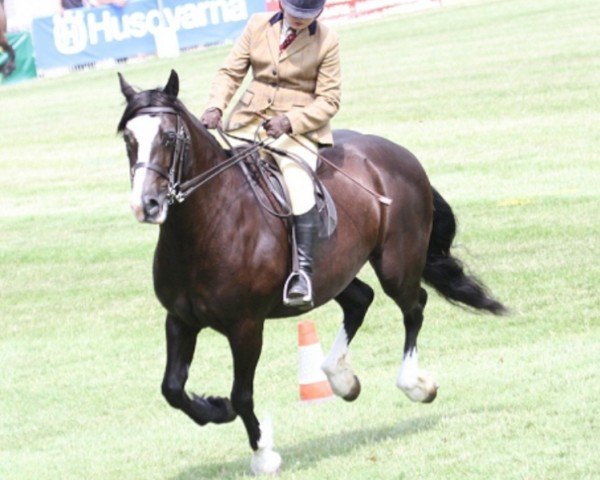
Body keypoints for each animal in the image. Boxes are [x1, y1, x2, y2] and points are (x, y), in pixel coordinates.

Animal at [117, 71, 506, 476]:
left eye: (168, 137)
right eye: (128, 138)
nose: (146, 205)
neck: (208, 223)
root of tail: (398, 153)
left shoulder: (246, 326)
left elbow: (242, 395)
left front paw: (263, 454)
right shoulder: (180, 320)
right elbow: (172, 389)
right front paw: (215, 407)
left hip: (396, 264)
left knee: (414, 307)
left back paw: (414, 384)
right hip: (333, 274)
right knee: (361, 300)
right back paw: (341, 378)